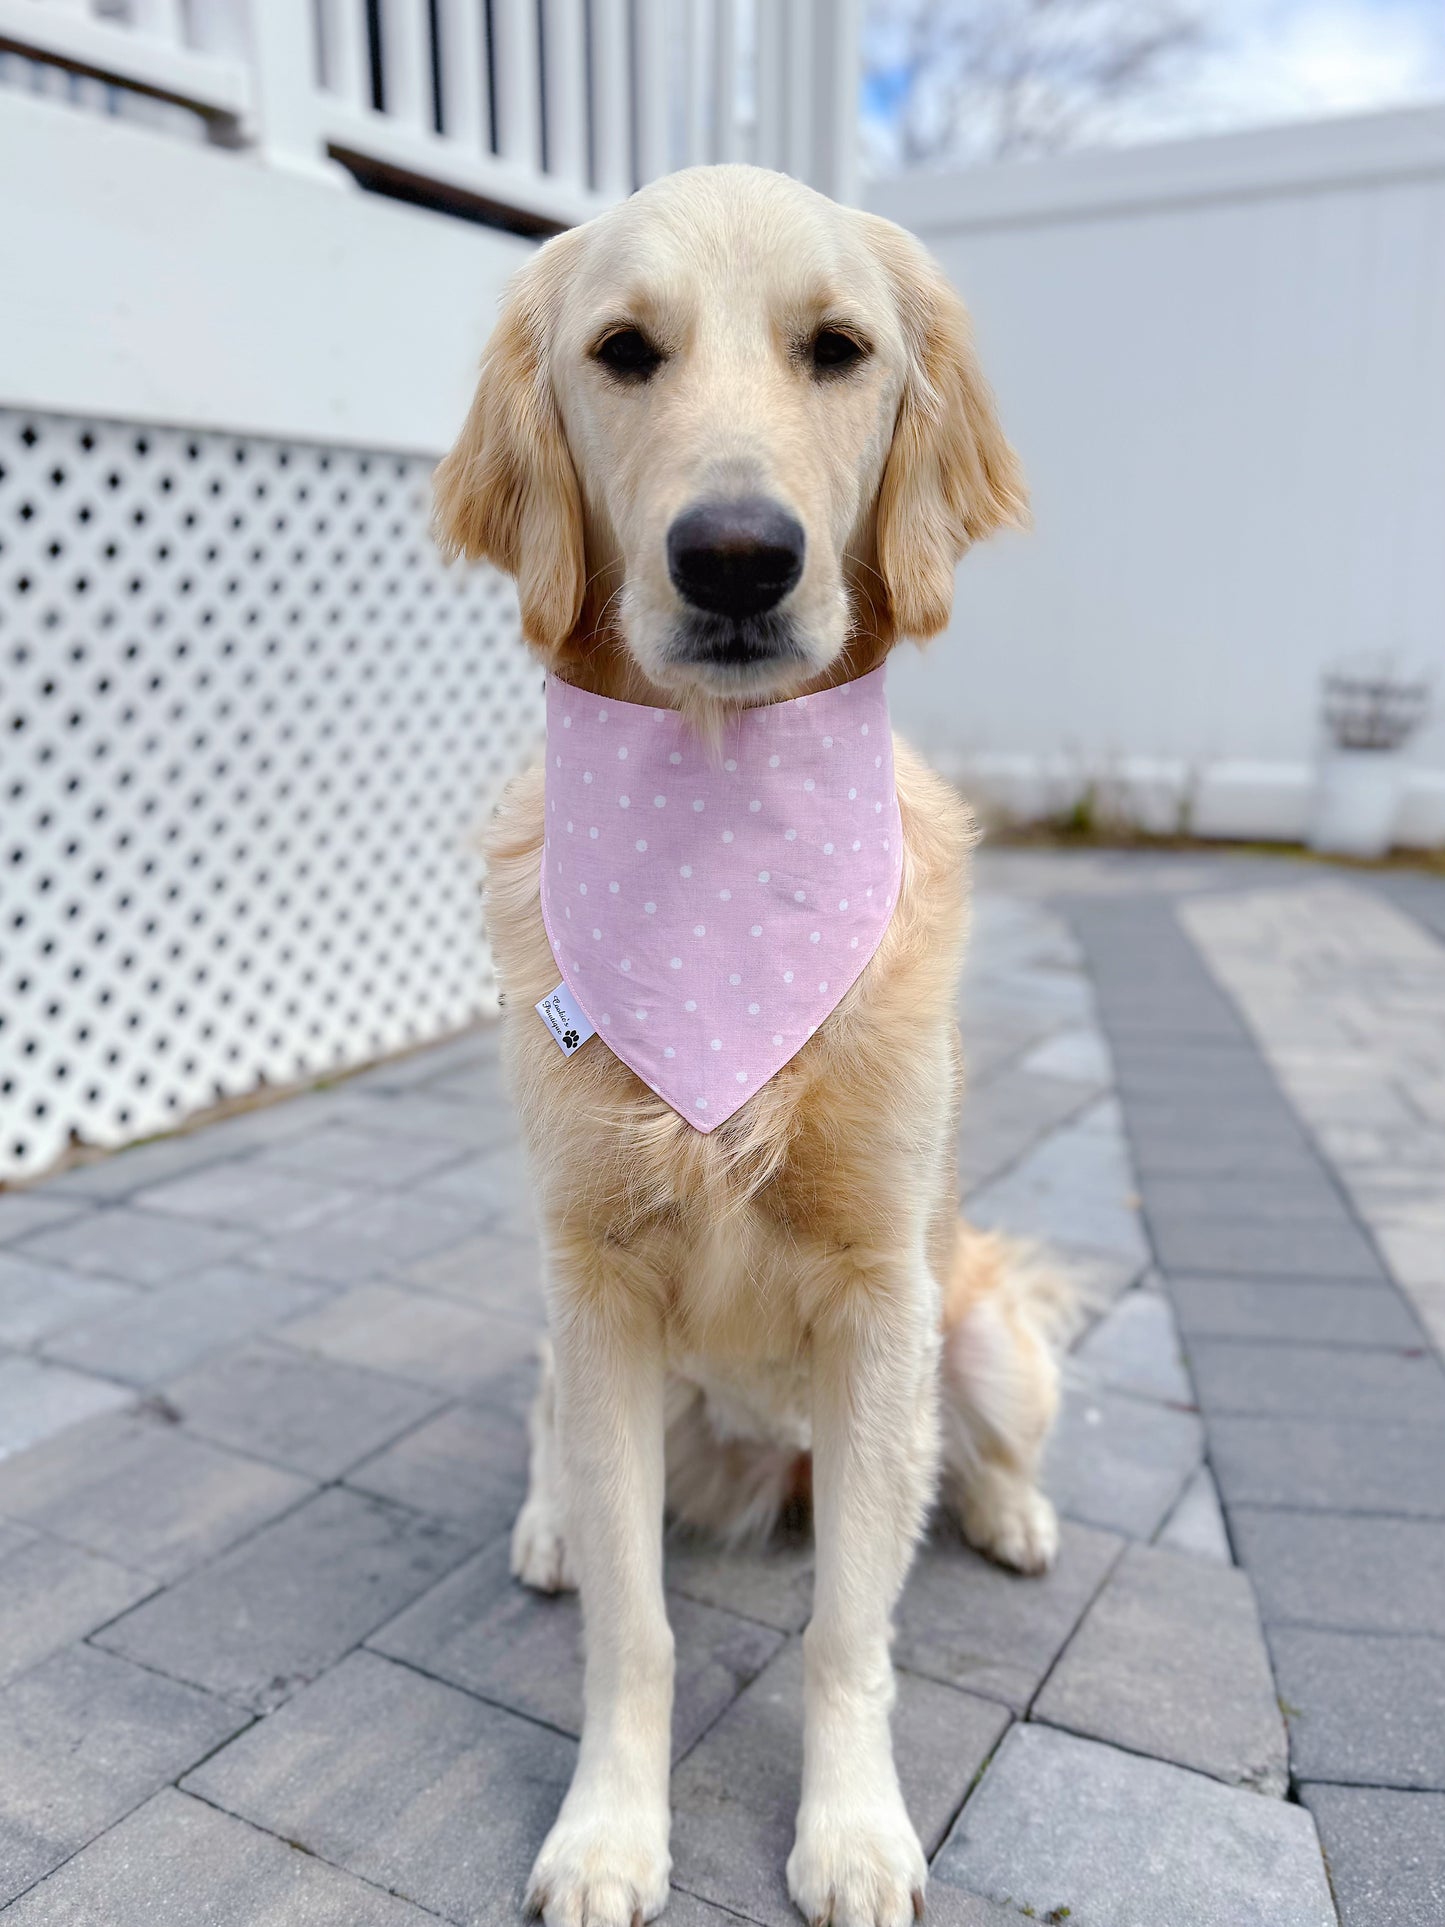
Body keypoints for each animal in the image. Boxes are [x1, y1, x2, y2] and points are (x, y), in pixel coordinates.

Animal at [435, 165, 1071, 1927]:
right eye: (623, 350)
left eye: (837, 348)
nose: (734, 560)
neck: (717, 837)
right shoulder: (594, 1284)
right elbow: (634, 1629)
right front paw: (606, 1831)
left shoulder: (879, 1300)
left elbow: (850, 1625)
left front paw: (851, 1832)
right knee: (555, 1447)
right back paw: (546, 1525)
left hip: (978, 1327)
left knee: (978, 1444)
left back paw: (1012, 1510)